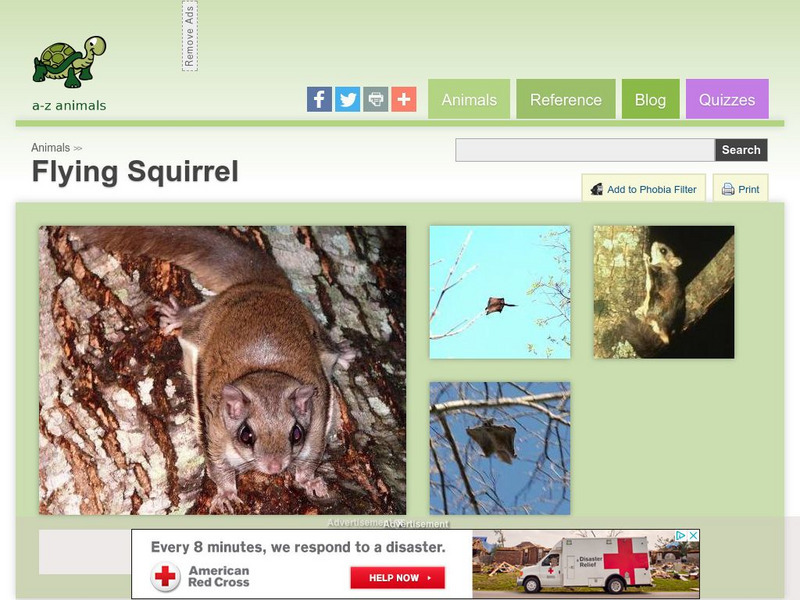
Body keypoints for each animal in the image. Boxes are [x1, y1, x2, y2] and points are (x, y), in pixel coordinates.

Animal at [67, 226, 357, 513]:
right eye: (246, 435)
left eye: (296, 434)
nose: (274, 467)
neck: (264, 369)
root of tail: (261, 286)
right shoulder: (215, 430)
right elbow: (218, 467)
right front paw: (227, 494)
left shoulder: (317, 423)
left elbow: (311, 458)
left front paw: (310, 481)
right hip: (205, 322)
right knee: (192, 324)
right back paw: (179, 316)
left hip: (316, 333)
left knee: (328, 348)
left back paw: (343, 353)